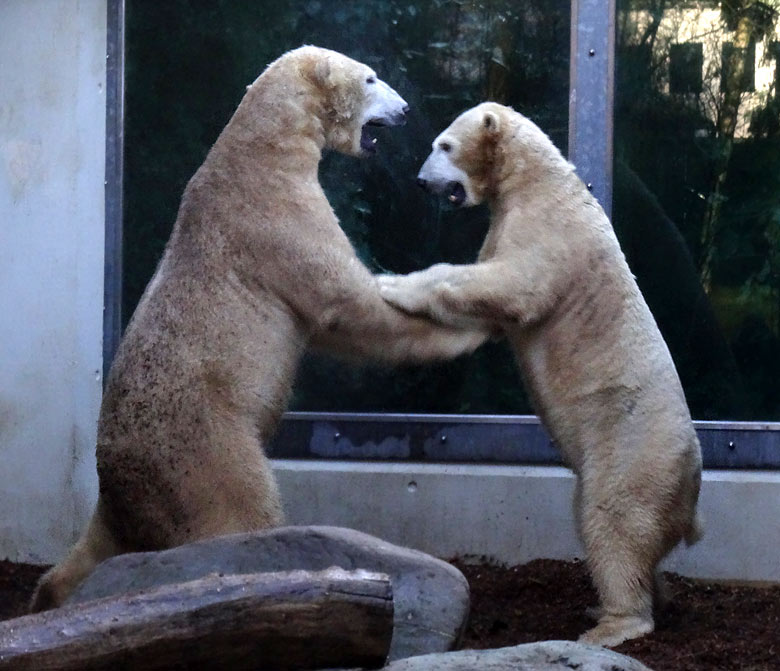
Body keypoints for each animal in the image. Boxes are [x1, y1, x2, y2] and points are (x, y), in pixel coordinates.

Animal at [35, 46, 494, 616]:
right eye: (370, 78)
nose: (406, 109)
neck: (261, 149)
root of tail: (112, 474)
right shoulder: (276, 215)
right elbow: (344, 302)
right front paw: (469, 328)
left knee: (91, 552)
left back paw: (52, 593)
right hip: (202, 442)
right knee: (235, 510)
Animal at [380, 102, 708, 648]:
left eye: (443, 145)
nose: (422, 181)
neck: (537, 177)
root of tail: (692, 496)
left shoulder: (549, 230)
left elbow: (512, 285)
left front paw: (393, 284)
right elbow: (487, 312)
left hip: (631, 450)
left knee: (610, 520)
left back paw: (610, 624)